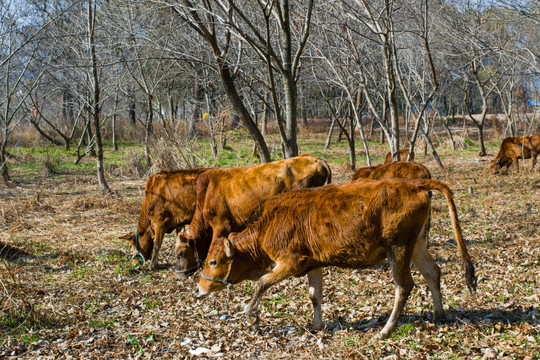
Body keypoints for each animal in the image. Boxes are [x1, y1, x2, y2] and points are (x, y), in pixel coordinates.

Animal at [196, 179, 474, 338]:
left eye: (213, 262)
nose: (198, 290)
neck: (268, 226)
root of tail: (415, 185)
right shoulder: (312, 264)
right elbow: (315, 295)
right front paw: (316, 325)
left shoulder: (290, 263)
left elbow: (262, 283)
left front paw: (252, 317)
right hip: (415, 244)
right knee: (432, 272)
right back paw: (438, 315)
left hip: (398, 247)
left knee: (404, 285)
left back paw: (387, 329)